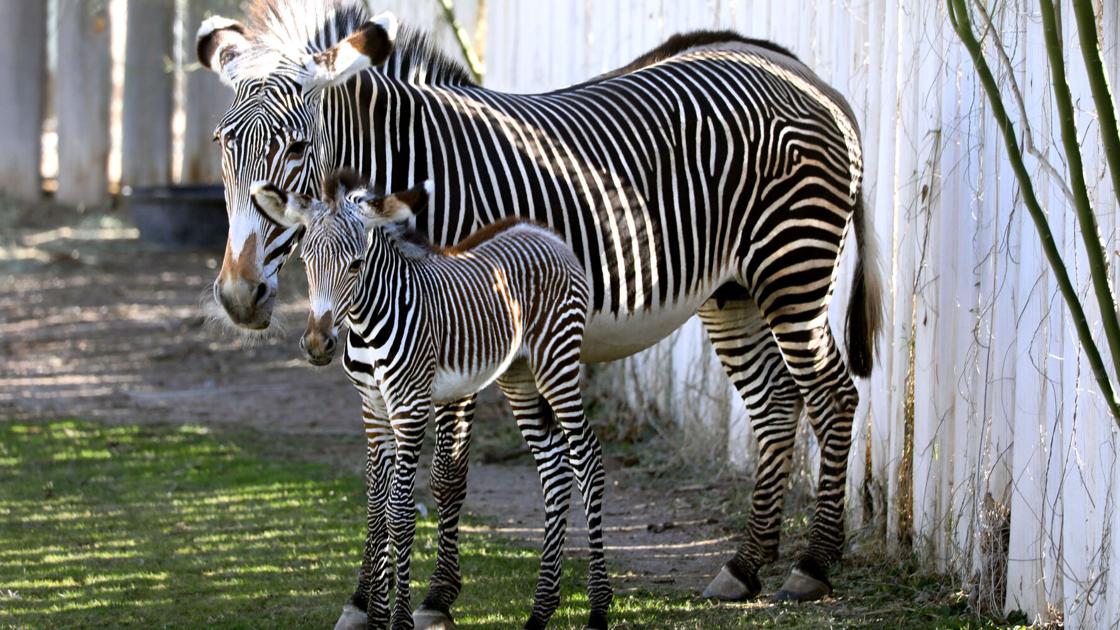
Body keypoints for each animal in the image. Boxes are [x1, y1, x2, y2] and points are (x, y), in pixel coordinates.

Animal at [250, 170, 611, 630]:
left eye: (356, 264)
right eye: (306, 263)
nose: (317, 345)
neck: (366, 326)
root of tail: (544, 233)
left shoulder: (410, 407)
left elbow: (401, 514)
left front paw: (400, 619)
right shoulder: (373, 411)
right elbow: (376, 510)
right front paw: (375, 617)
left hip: (556, 361)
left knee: (587, 459)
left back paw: (598, 609)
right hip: (520, 375)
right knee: (555, 468)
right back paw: (539, 612)